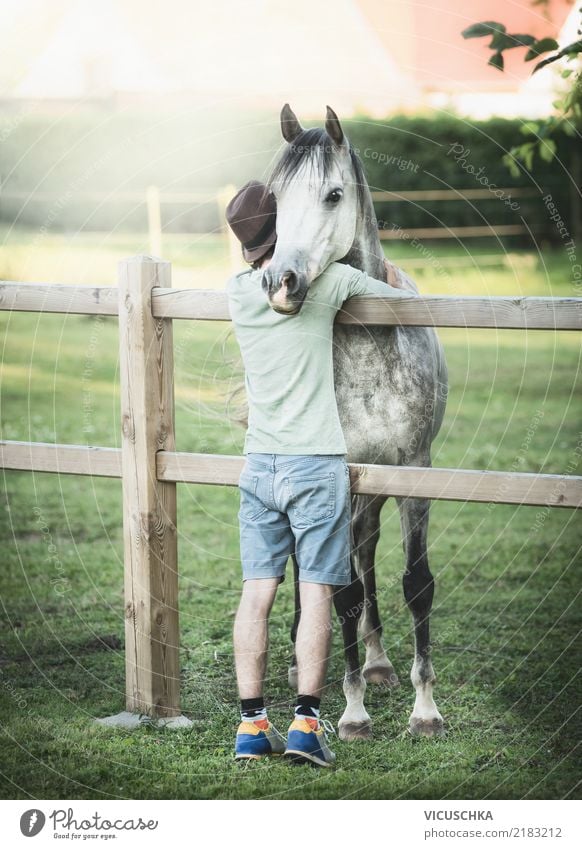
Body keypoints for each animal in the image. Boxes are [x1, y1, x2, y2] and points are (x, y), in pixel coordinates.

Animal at [262, 106, 450, 740]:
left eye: (333, 194)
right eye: (274, 196)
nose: (280, 283)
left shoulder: (414, 470)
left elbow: (415, 584)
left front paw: (424, 710)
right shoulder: (338, 478)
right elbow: (338, 590)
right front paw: (351, 712)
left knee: (366, 555)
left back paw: (378, 661)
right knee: (312, 568)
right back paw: (309, 658)